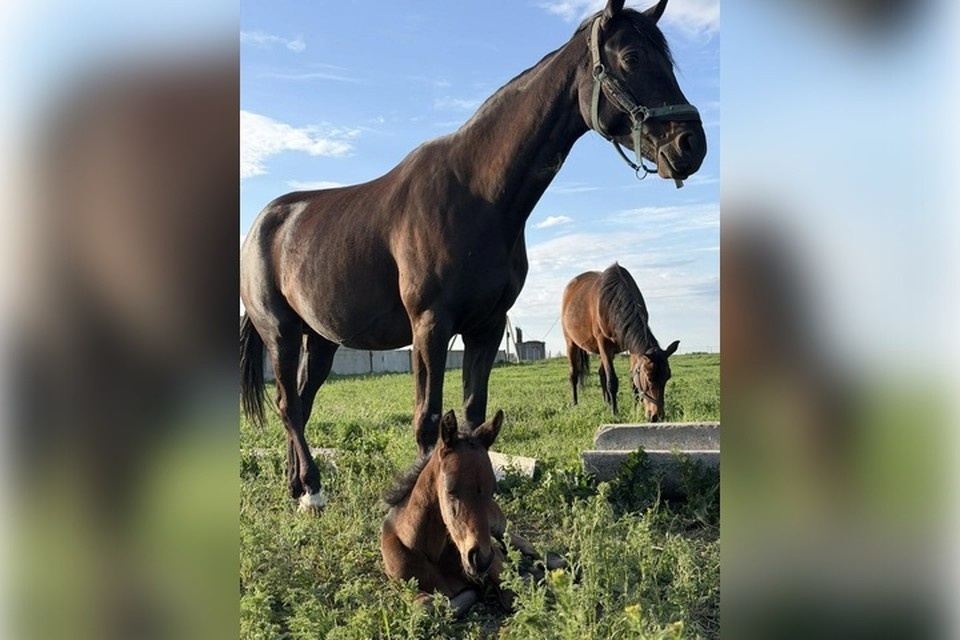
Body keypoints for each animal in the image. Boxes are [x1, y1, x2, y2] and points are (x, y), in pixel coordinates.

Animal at [380, 410, 557, 617]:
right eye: (451, 490)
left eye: (492, 490)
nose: (481, 559)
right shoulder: (405, 587)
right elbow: (427, 606)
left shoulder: (494, 558)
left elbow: (511, 592)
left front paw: (527, 576)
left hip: (498, 525)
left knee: (525, 545)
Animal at [561, 263, 679, 419]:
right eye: (649, 378)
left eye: (667, 377)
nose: (657, 416)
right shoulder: (604, 344)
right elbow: (612, 381)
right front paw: (615, 413)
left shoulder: (632, 348)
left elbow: (633, 382)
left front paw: (634, 410)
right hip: (571, 343)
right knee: (573, 375)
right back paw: (575, 404)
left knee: (601, 374)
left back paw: (607, 403)